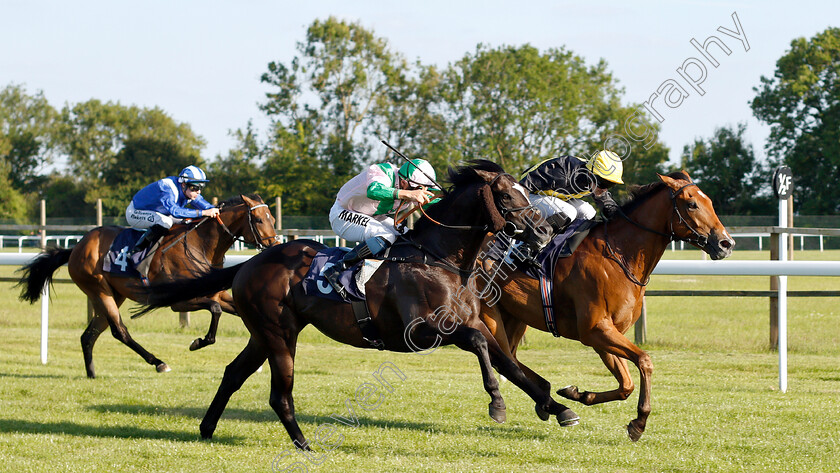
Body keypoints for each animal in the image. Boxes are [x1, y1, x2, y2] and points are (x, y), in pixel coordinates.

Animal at [16, 192, 278, 376]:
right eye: (257, 219)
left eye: (273, 219)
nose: (274, 246)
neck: (199, 245)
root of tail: (77, 247)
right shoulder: (179, 301)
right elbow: (214, 311)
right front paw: (198, 342)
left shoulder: (217, 295)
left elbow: (230, 309)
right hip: (98, 289)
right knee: (119, 331)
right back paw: (158, 362)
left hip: (113, 294)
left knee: (89, 335)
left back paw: (91, 373)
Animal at [138, 160, 584, 444]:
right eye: (508, 197)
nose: (544, 231)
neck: (438, 258)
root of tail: (249, 262)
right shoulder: (422, 332)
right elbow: (482, 350)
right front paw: (497, 403)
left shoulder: (472, 323)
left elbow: (509, 362)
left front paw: (557, 407)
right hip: (279, 333)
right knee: (279, 394)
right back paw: (304, 444)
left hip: (265, 333)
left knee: (233, 374)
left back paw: (207, 429)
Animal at [480, 171, 736, 440]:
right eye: (692, 204)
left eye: (709, 202)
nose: (726, 243)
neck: (619, 256)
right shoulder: (595, 330)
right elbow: (644, 360)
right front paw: (640, 421)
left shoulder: (607, 333)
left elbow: (626, 384)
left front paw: (577, 393)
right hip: (490, 312)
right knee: (503, 358)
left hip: (516, 315)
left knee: (510, 357)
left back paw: (547, 399)